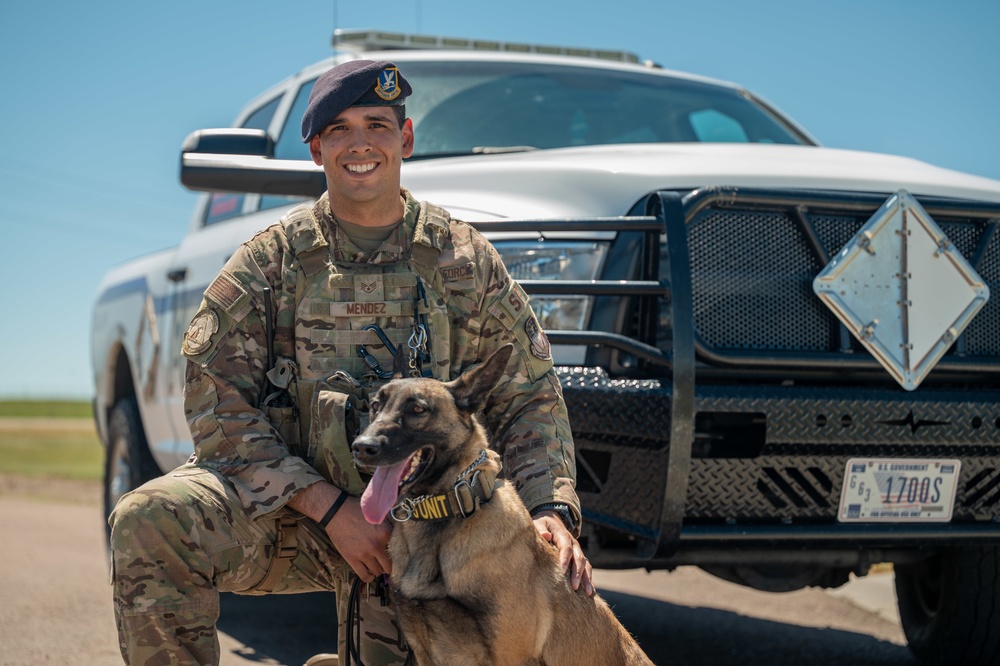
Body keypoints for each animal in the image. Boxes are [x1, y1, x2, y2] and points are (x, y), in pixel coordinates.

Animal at [352, 344, 656, 660]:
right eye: (376, 406)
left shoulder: (509, 654)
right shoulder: (422, 651)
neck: (447, 511)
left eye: (418, 409)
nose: (360, 447)